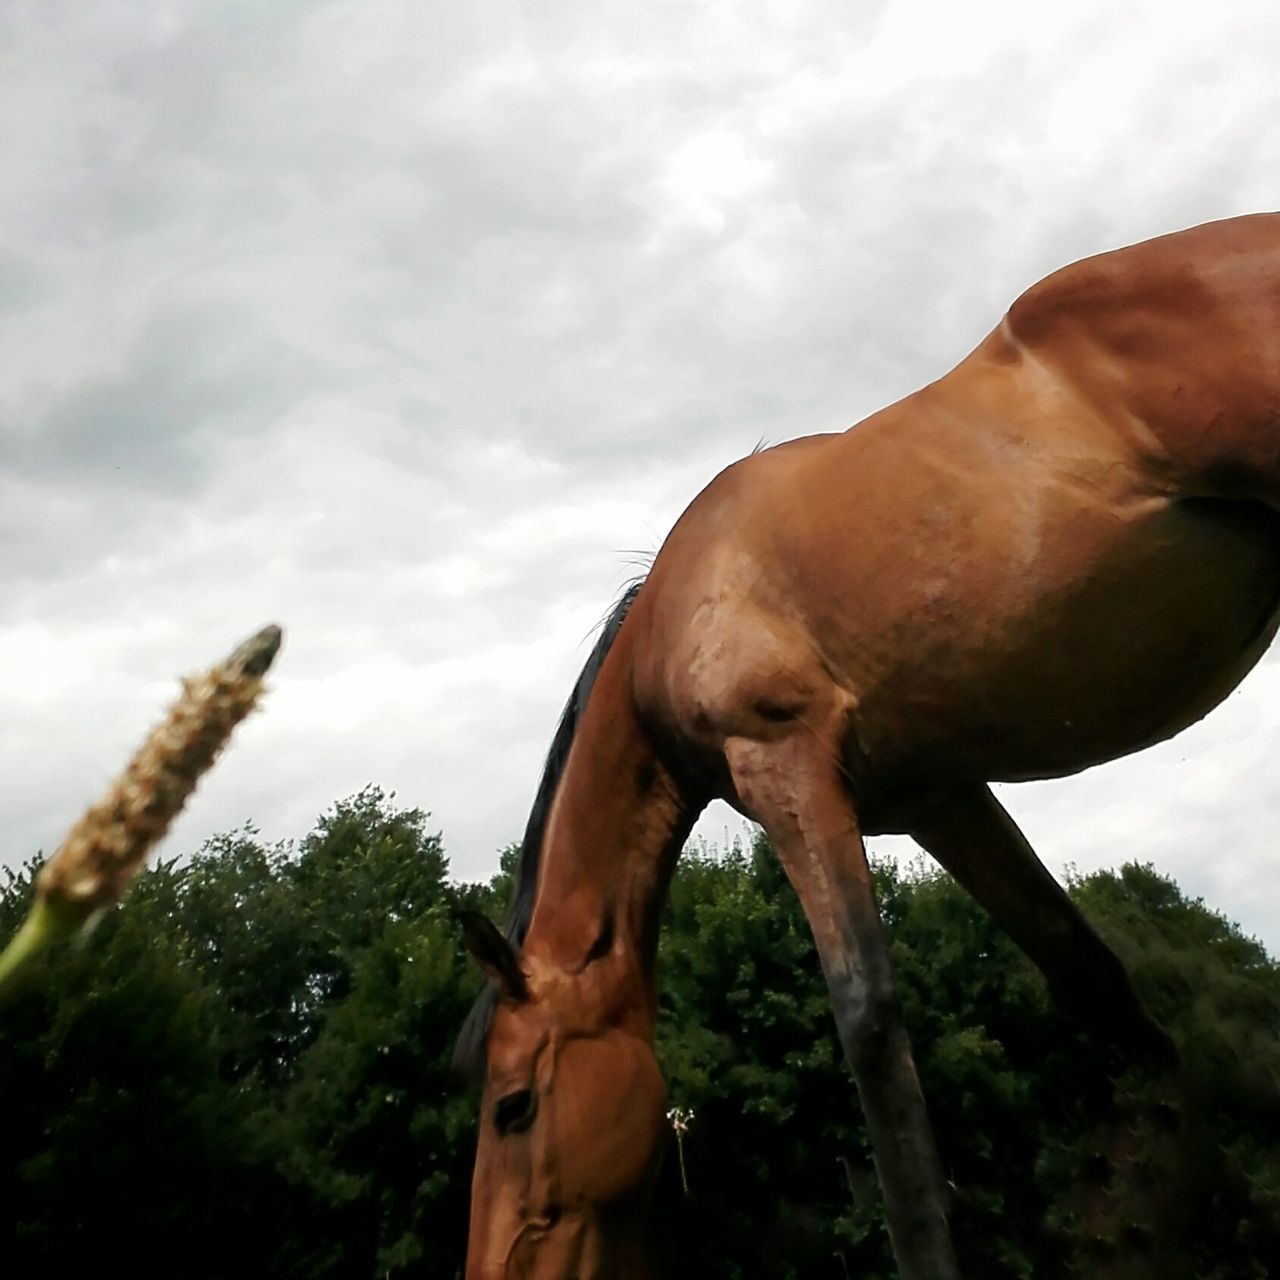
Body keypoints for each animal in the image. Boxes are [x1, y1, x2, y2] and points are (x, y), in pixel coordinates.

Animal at [453, 215, 1280, 1274]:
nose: (483, 1272)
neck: (679, 612)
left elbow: (870, 1029)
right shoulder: (941, 799)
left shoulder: (783, 761)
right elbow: (1093, 980)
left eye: (514, 1107)